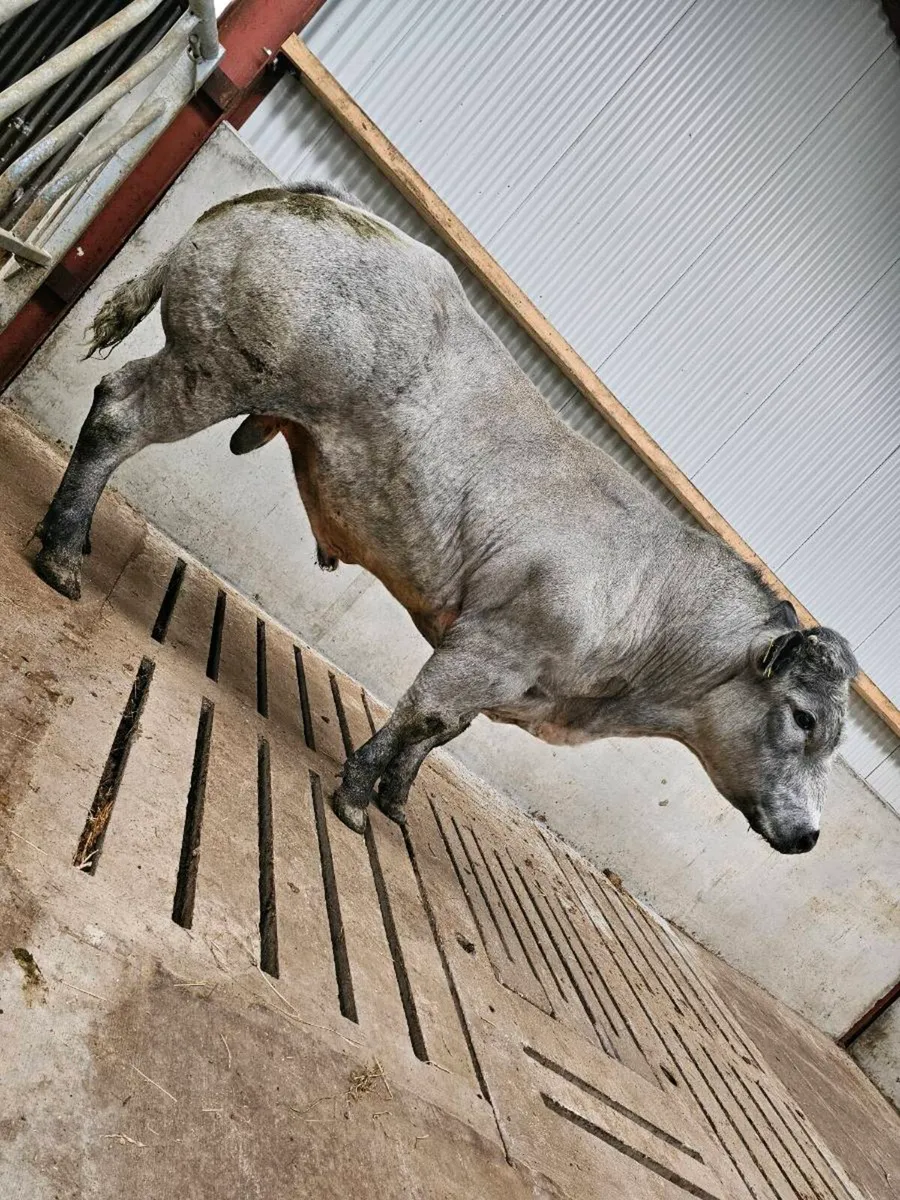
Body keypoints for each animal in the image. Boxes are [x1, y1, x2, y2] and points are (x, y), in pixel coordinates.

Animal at [32, 182, 858, 854]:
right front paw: (356, 796)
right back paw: (62, 552)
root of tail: (307, 199)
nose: (810, 836)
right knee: (115, 419)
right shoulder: (488, 648)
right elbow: (425, 716)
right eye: (804, 719)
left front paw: (396, 798)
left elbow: (441, 735)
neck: (649, 614)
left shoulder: (507, 676)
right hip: (211, 372)